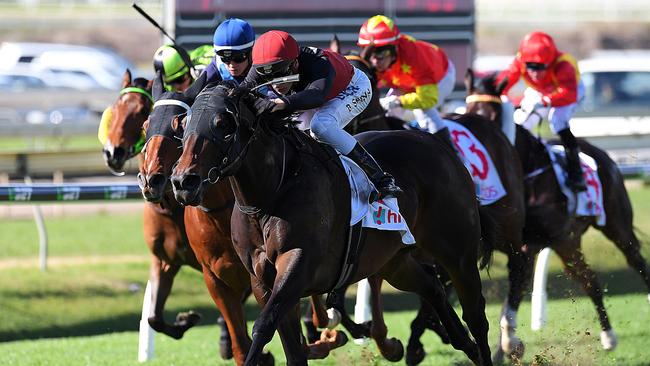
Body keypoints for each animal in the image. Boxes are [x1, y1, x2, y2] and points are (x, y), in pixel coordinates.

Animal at [170, 83, 494, 366]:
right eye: (182, 124)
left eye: (223, 123)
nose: (183, 181)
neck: (272, 193)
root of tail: (437, 144)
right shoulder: (261, 278)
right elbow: (290, 346)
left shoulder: (297, 264)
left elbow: (263, 326)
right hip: (394, 261)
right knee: (432, 286)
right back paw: (462, 344)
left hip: (458, 253)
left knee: (476, 316)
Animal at [464, 68, 648, 358]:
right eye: (467, 108)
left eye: (490, 114)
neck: (527, 172)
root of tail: (604, 155)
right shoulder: (526, 244)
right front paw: (506, 348)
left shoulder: (527, 246)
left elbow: (514, 294)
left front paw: (509, 344)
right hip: (568, 242)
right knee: (590, 280)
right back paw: (608, 336)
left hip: (616, 226)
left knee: (636, 261)